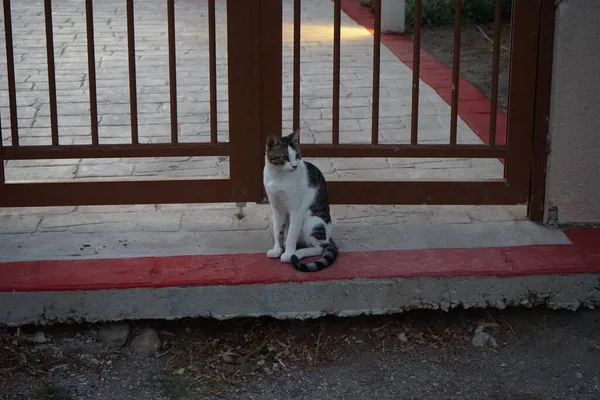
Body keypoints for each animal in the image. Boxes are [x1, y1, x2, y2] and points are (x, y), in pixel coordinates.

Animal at [262, 130, 338, 272]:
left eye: (297, 155)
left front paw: (287, 254)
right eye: (285, 157)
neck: (278, 176)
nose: (294, 166)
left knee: (320, 247)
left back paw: (297, 253)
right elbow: (277, 231)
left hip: (311, 221)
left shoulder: (297, 211)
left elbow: (292, 235)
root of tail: (328, 236)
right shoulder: (277, 209)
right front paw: (277, 250)